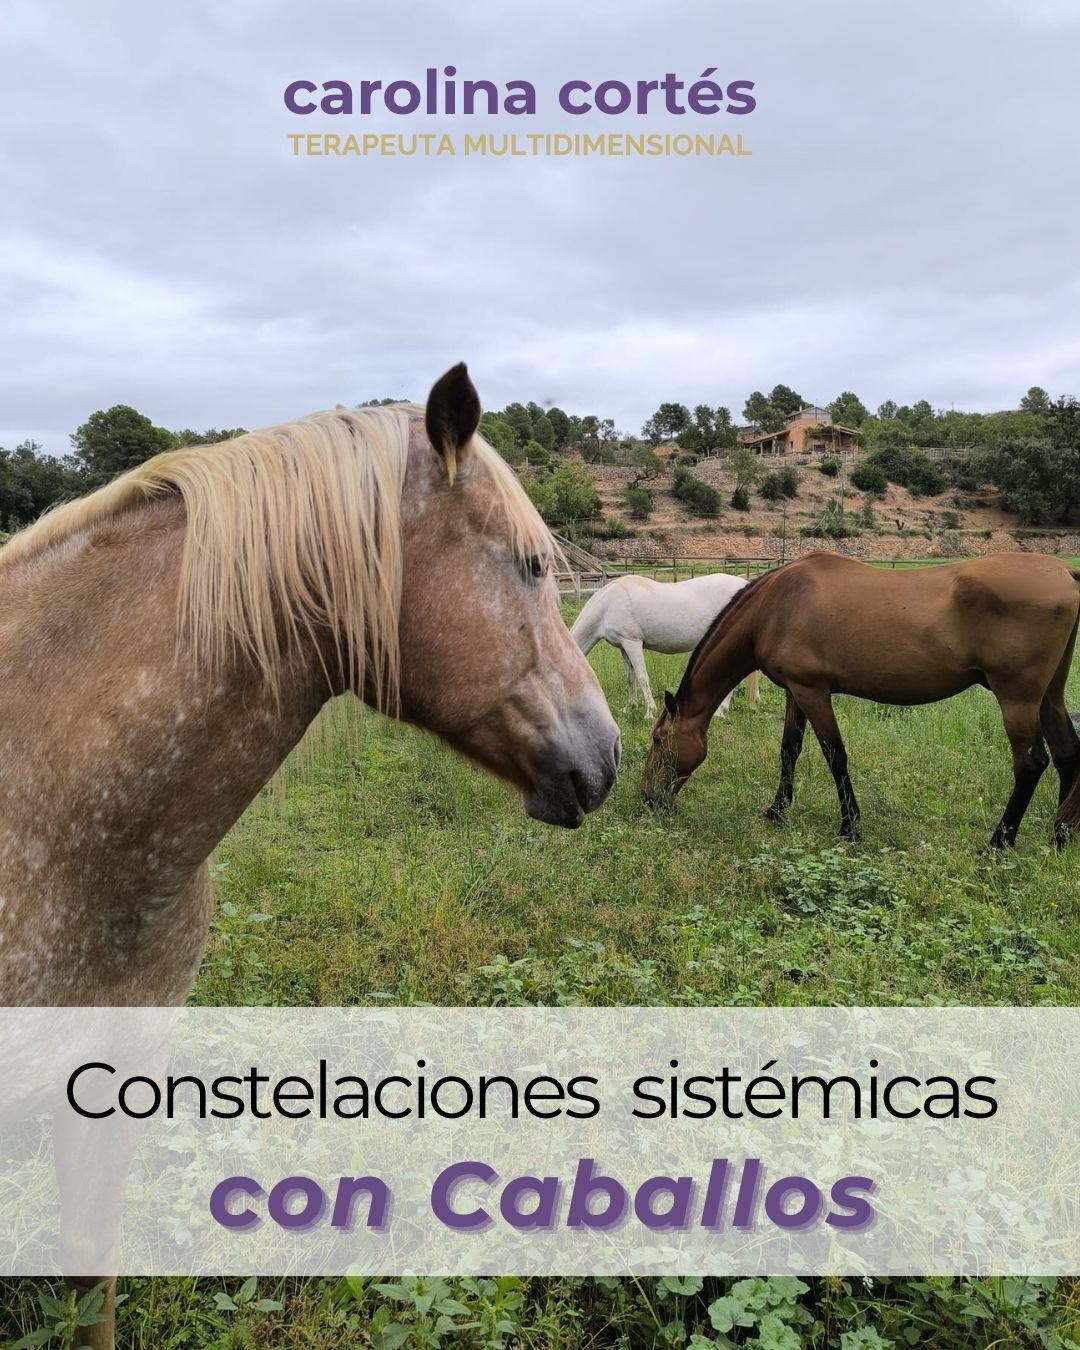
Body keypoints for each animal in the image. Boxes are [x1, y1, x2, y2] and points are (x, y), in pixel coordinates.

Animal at [570, 573, 760, 717]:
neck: (607, 605)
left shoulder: (632, 642)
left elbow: (642, 676)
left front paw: (649, 712)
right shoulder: (623, 646)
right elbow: (630, 677)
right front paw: (630, 708)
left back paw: (720, 712)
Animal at [642, 551, 1080, 849]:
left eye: (658, 740)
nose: (648, 799)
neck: (776, 605)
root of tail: (1066, 573)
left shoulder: (813, 691)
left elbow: (834, 753)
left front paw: (850, 826)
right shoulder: (795, 692)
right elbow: (790, 749)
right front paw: (777, 809)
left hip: (1017, 699)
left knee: (1031, 763)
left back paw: (999, 842)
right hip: (1049, 697)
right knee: (1066, 755)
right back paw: (1060, 835)